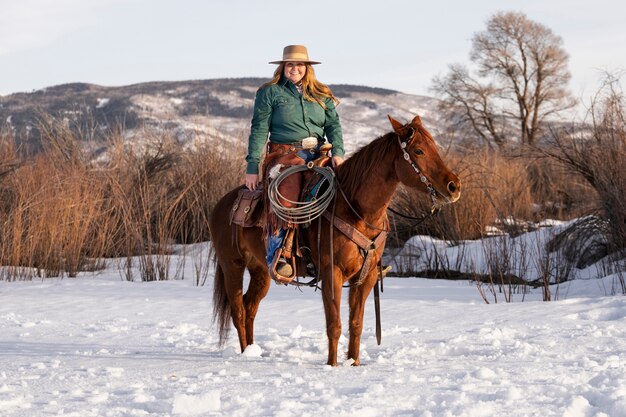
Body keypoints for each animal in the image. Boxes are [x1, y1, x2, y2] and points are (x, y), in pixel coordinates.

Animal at [210, 114, 458, 364]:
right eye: (418, 151)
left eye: (434, 148)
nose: (453, 186)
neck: (356, 210)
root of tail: (221, 204)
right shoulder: (332, 274)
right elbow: (334, 325)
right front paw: (333, 366)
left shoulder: (366, 277)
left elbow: (355, 324)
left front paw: (354, 363)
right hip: (232, 265)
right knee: (238, 311)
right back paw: (244, 353)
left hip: (260, 269)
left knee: (250, 307)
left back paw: (251, 352)